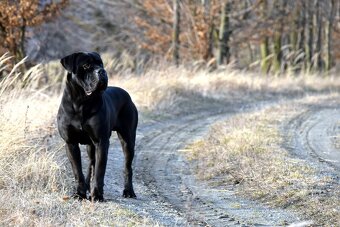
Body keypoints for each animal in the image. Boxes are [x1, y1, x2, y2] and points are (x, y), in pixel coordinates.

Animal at [57, 51, 138, 200]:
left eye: (100, 64)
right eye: (86, 65)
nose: (102, 71)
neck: (81, 102)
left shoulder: (101, 142)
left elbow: (100, 171)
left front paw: (98, 195)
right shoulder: (71, 143)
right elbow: (78, 171)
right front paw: (80, 193)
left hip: (128, 140)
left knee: (127, 167)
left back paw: (128, 191)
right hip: (90, 146)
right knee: (91, 163)